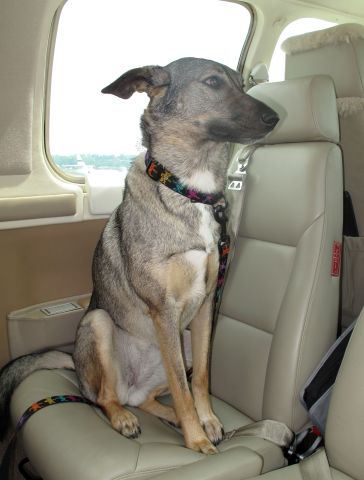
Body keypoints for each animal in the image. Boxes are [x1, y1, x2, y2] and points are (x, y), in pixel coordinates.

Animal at [0, 57, 278, 454]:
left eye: (242, 84)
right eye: (212, 82)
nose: (275, 118)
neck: (190, 189)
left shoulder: (205, 307)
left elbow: (200, 378)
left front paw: (207, 422)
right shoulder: (164, 310)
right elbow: (181, 387)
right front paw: (196, 438)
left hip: (183, 343)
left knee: (146, 398)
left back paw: (166, 414)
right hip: (98, 322)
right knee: (106, 397)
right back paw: (124, 419)